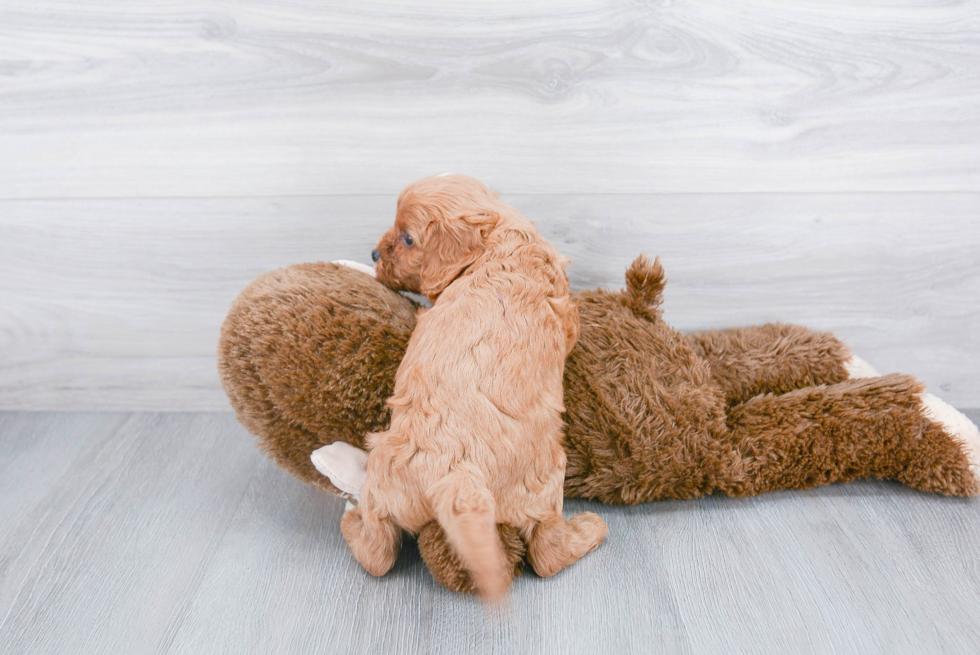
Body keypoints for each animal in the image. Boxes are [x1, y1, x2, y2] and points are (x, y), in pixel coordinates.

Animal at [340, 174, 608, 600]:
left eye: (408, 238)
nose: (373, 253)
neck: (498, 241)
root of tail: (460, 482)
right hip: (546, 479)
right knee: (548, 553)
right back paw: (590, 529)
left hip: (383, 478)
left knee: (378, 553)